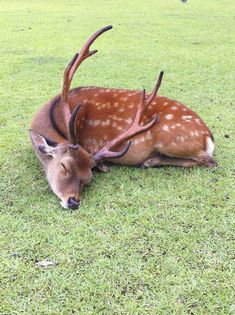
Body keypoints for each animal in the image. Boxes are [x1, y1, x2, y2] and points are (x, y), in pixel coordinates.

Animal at [29, 25, 217, 210]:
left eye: (88, 178)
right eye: (64, 166)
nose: (73, 201)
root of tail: (208, 136)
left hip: (171, 139)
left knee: (209, 160)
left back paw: (150, 161)